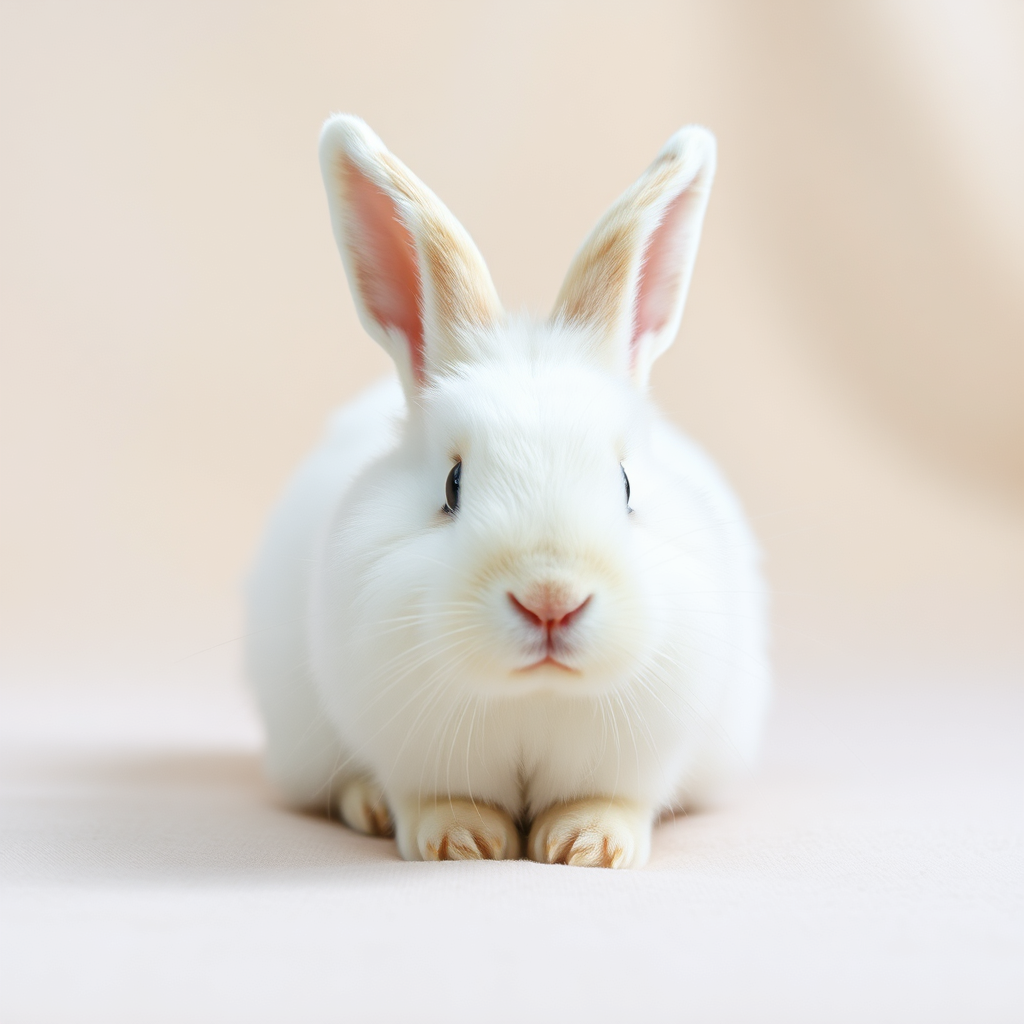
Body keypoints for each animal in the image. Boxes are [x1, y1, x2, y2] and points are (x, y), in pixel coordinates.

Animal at [245, 114, 770, 868]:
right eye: (453, 484)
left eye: (626, 484)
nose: (550, 600)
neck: (533, 697)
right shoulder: (410, 748)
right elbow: (438, 798)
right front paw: (459, 842)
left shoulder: (641, 756)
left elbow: (611, 799)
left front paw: (589, 846)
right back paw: (367, 806)